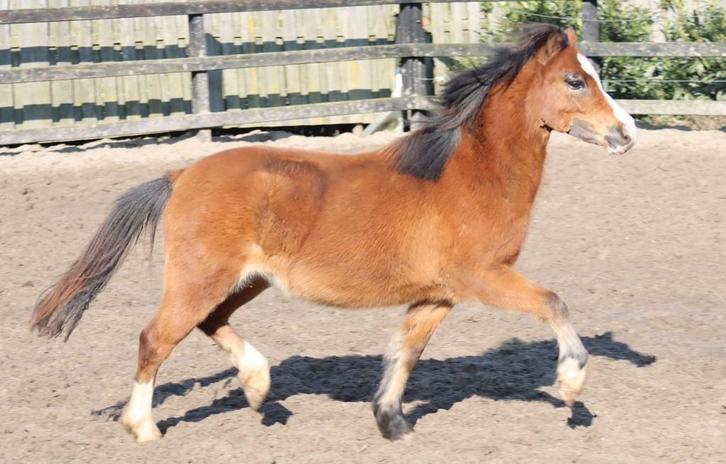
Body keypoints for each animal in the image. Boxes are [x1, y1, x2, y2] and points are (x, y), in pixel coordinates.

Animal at [30, 24, 636, 443]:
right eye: (576, 80)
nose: (626, 132)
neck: (471, 173)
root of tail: (181, 175)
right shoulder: (484, 277)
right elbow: (553, 303)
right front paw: (571, 386)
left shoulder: (438, 295)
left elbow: (405, 352)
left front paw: (392, 422)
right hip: (200, 275)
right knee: (156, 338)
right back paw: (145, 428)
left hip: (246, 279)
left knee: (210, 322)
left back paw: (259, 388)